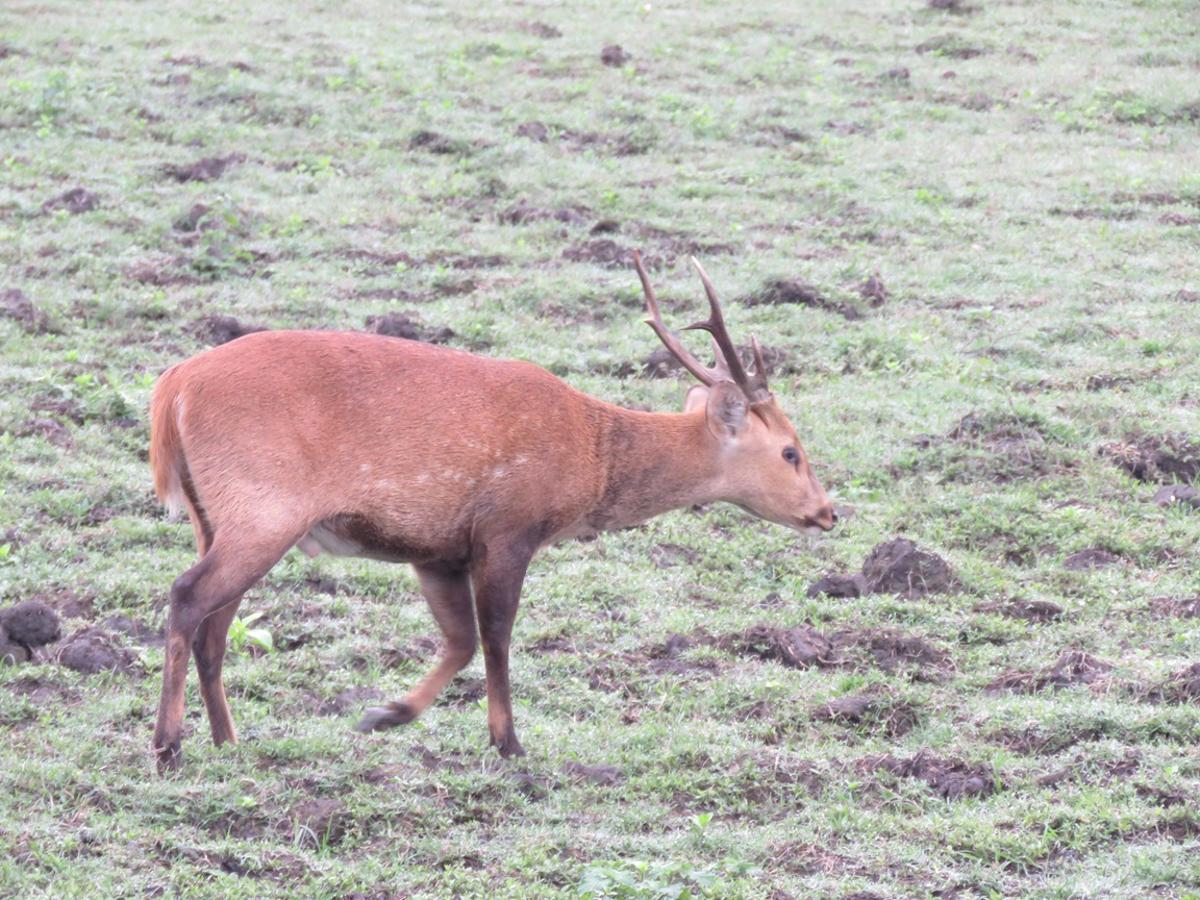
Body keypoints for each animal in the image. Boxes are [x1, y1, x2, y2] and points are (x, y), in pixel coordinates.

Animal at [148, 252, 836, 771]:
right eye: (790, 450)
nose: (828, 513)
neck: (591, 456)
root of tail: (172, 388)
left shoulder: (436, 549)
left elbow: (459, 640)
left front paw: (384, 713)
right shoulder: (508, 527)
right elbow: (497, 636)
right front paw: (509, 743)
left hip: (216, 516)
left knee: (215, 624)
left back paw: (228, 739)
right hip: (263, 506)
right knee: (187, 597)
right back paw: (168, 745)